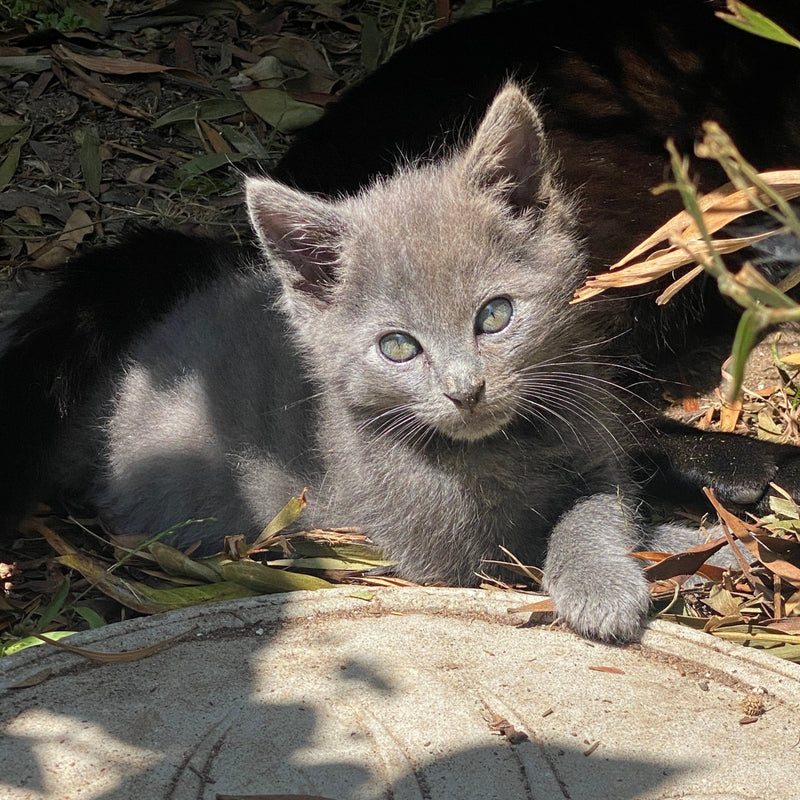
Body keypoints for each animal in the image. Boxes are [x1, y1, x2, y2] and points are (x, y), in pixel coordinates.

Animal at [56, 84, 660, 640]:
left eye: (495, 315)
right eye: (399, 347)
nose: (465, 391)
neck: (496, 450)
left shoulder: (596, 442)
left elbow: (600, 507)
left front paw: (602, 583)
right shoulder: (433, 554)